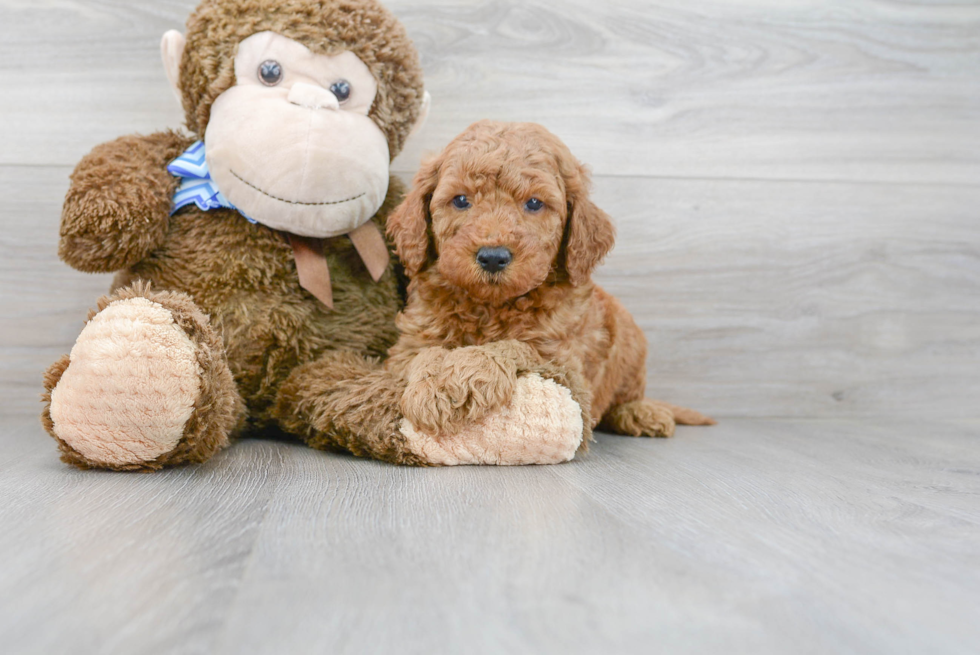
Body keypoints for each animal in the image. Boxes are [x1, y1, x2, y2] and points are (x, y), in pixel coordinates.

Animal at [382, 121, 712, 444]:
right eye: (461, 200)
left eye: (534, 203)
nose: (493, 257)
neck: (490, 306)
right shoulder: (411, 342)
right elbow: (424, 354)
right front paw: (433, 386)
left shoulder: (561, 361)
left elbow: (509, 346)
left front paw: (455, 380)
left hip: (630, 343)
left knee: (625, 396)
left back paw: (640, 413)